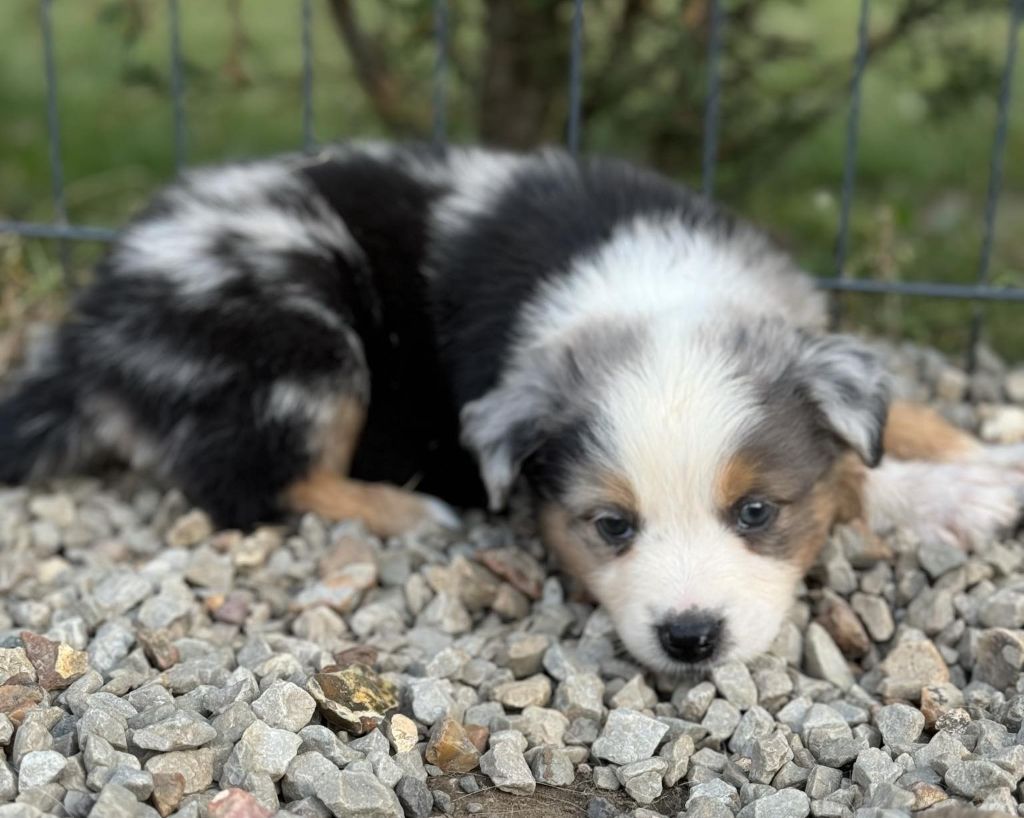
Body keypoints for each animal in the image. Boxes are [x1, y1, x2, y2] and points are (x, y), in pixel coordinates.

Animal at [2, 143, 1023, 673]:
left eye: (757, 511)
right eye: (610, 526)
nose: (690, 640)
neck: (652, 289)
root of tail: (93, 329)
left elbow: (894, 416)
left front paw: (980, 453)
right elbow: (855, 480)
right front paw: (960, 500)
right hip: (301, 325)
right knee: (251, 479)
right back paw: (406, 509)